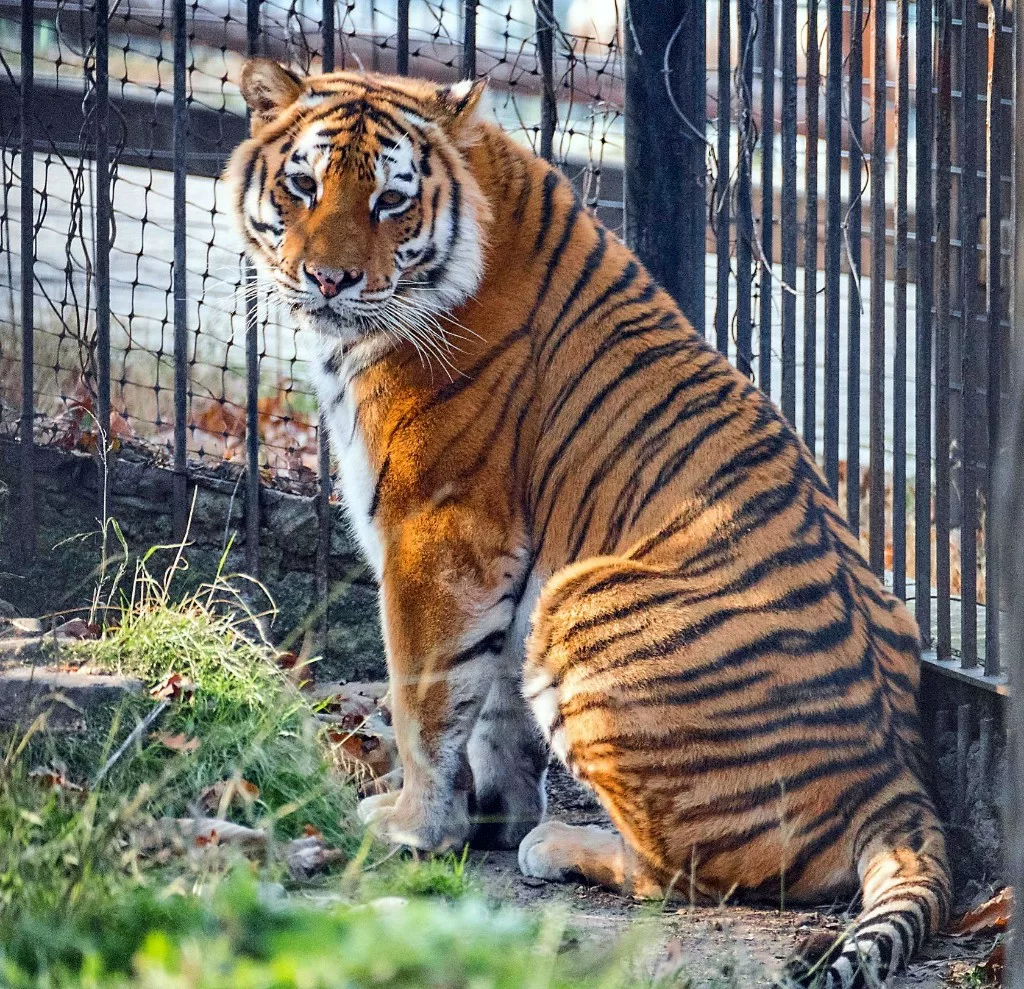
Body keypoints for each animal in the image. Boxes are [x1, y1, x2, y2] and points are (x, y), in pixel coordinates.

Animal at [226, 61, 950, 989]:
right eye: (303, 185)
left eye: (390, 201)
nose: (327, 280)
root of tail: (899, 783)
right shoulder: (504, 567)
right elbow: (489, 707)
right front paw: (487, 816)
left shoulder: (439, 528)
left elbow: (424, 699)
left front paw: (415, 826)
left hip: (582, 599)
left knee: (688, 871)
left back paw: (559, 844)